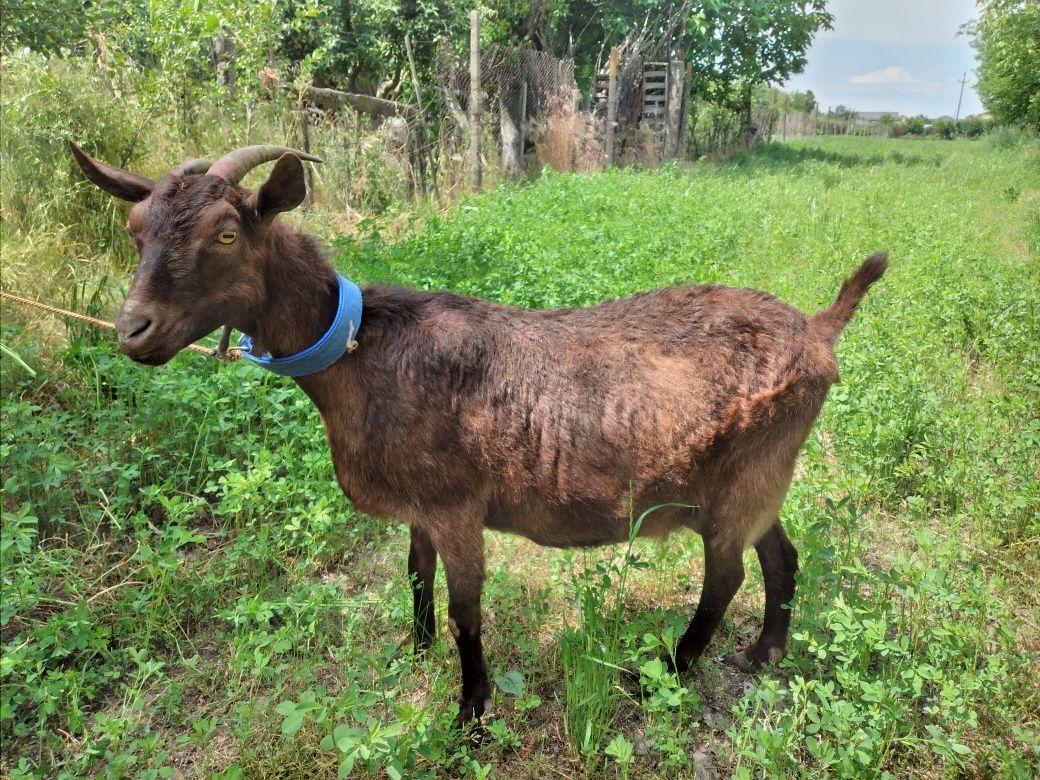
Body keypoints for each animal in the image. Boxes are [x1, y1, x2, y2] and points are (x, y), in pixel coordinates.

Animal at [71, 140, 886, 728]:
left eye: (226, 233)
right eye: (135, 231)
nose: (132, 330)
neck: (364, 349)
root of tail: (819, 329)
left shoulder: (457, 505)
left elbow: (468, 611)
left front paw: (469, 711)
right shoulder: (420, 508)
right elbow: (414, 574)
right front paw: (414, 649)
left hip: (741, 481)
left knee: (727, 578)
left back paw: (664, 675)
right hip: (759, 482)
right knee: (780, 557)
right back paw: (765, 653)